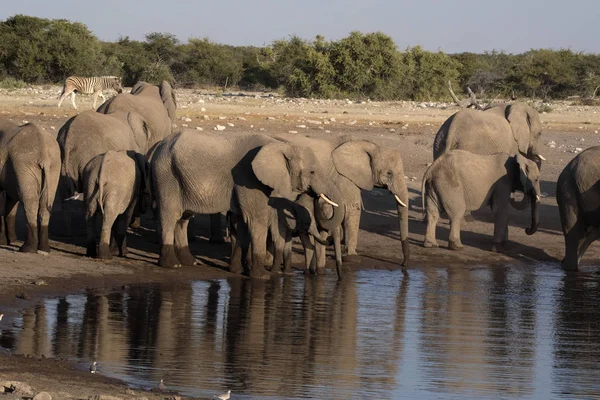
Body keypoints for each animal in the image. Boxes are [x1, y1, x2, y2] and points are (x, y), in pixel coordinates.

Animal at [0, 119, 61, 253]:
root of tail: (44, 155)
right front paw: (10, 241)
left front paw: (3, 242)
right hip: (54, 166)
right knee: (45, 202)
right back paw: (44, 249)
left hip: (24, 163)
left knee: (29, 201)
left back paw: (27, 249)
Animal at [152, 131, 344, 278]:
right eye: (312, 172)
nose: (316, 197)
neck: (281, 145)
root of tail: (158, 145)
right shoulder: (248, 178)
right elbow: (255, 219)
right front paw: (262, 276)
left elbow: (243, 222)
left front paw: (238, 271)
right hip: (167, 175)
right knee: (170, 216)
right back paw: (172, 265)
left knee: (183, 219)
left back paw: (190, 262)